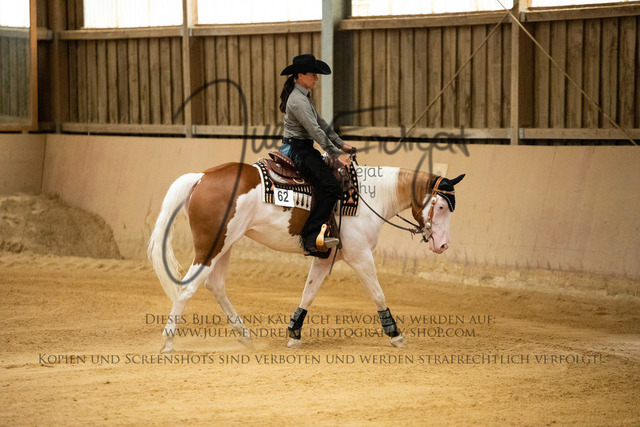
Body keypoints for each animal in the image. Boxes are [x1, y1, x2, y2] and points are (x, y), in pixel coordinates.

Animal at [147, 160, 464, 352]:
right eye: (440, 207)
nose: (443, 246)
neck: (367, 198)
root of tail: (201, 177)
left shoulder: (324, 257)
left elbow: (308, 293)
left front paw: (294, 333)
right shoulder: (360, 256)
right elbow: (377, 293)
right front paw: (395, 334)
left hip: (226, 244)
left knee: (215, 286)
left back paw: (244, 334)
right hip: (211, 247)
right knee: (187, 288)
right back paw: (168, 341)